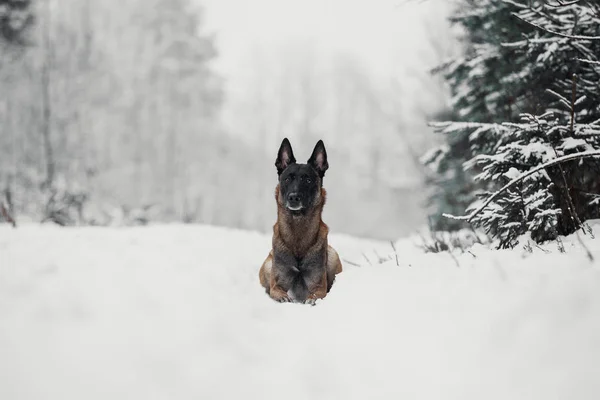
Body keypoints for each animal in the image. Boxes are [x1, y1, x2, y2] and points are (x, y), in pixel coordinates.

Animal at [258, 138, 342, 304]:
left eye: (308, 180)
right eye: (287, 179)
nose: (294, 197)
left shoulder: (319, 287)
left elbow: (314, 295)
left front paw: (310, 300)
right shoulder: (276, 284)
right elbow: (276, 291)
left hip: (333, 256)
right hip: (268, 264)